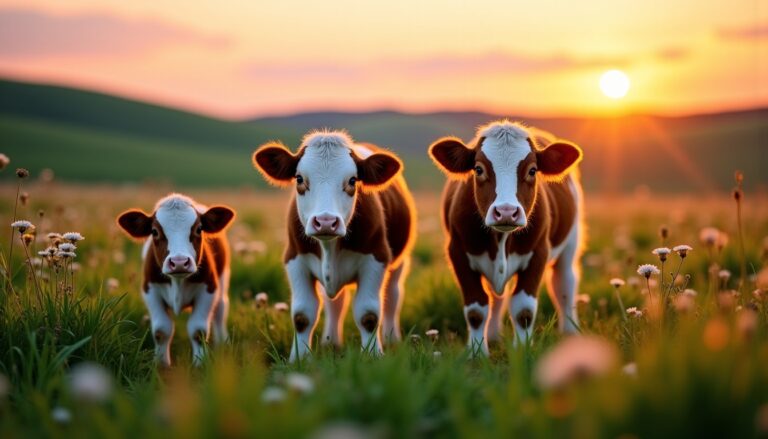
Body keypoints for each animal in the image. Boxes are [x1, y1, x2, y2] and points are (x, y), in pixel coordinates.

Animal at [117, 194, 235, 367]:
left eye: (199, 229)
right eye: (154, 231)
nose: (179, 262)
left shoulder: (208, 289)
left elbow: (198, 330)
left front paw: (200, 364)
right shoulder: (150, 290)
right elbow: (161, 330)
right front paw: (162, 364)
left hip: (222, 280)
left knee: (220, 309)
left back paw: (223, 343)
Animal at [252, 130, 416, 361]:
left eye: (353, 180)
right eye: (299, 178)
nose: (326, 222)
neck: (329, 248)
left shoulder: (376, 258)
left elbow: (369, 314)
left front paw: (373, 355)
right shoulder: (295, 259)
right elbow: (302, 315)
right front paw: (299, 358)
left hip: (399, 262)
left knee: (392, 296)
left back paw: (392, 339)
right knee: (334, 303)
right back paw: (331, 342)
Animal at [428, 120, 584, 355]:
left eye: (532, 170)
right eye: (478, 169)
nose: (506, 212)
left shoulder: (539, 252)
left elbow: (524, 309)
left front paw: (523, 350)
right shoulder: (458, 252)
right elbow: (476, 309)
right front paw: (477, 353)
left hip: (570, 242)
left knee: (565, 284)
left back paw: (570, 333)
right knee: (496, 298)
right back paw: (492, 336)